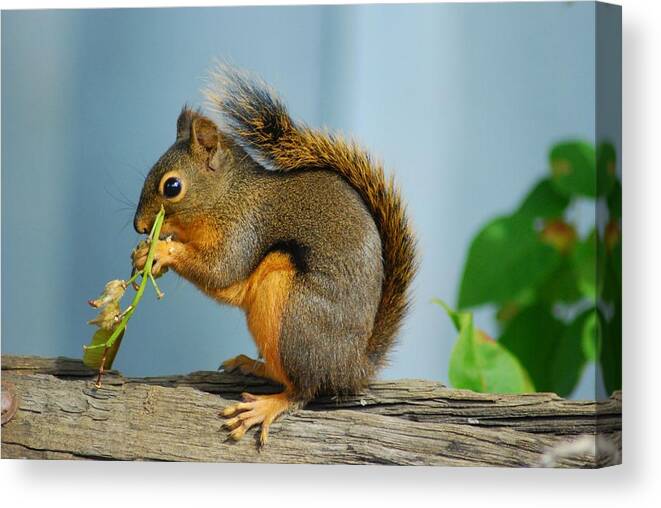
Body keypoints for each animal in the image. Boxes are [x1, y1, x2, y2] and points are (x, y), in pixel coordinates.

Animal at [131, 66, 416, 444]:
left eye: (172, 186)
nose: (138, 226)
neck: (226, 196)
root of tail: (353, 368)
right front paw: (144, 254)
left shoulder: (243, 231)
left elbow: (220, 271)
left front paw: (161, 250)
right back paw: (254, 364)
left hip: (292, 315)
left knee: (305, 389)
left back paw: (266, 406)